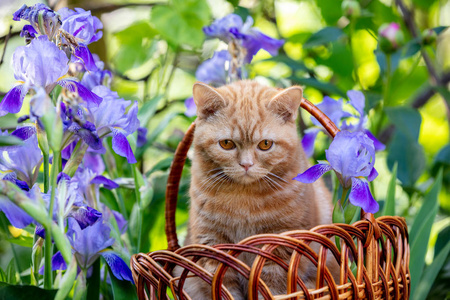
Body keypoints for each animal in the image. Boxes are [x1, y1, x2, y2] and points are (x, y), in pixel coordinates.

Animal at [182, 81, 334, 298]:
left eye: (265, 144)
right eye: (226, 143)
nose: (246, 164)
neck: (244, 198)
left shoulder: (281, 246)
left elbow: (270, 289)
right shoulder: (212, 245)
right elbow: (223, 288)